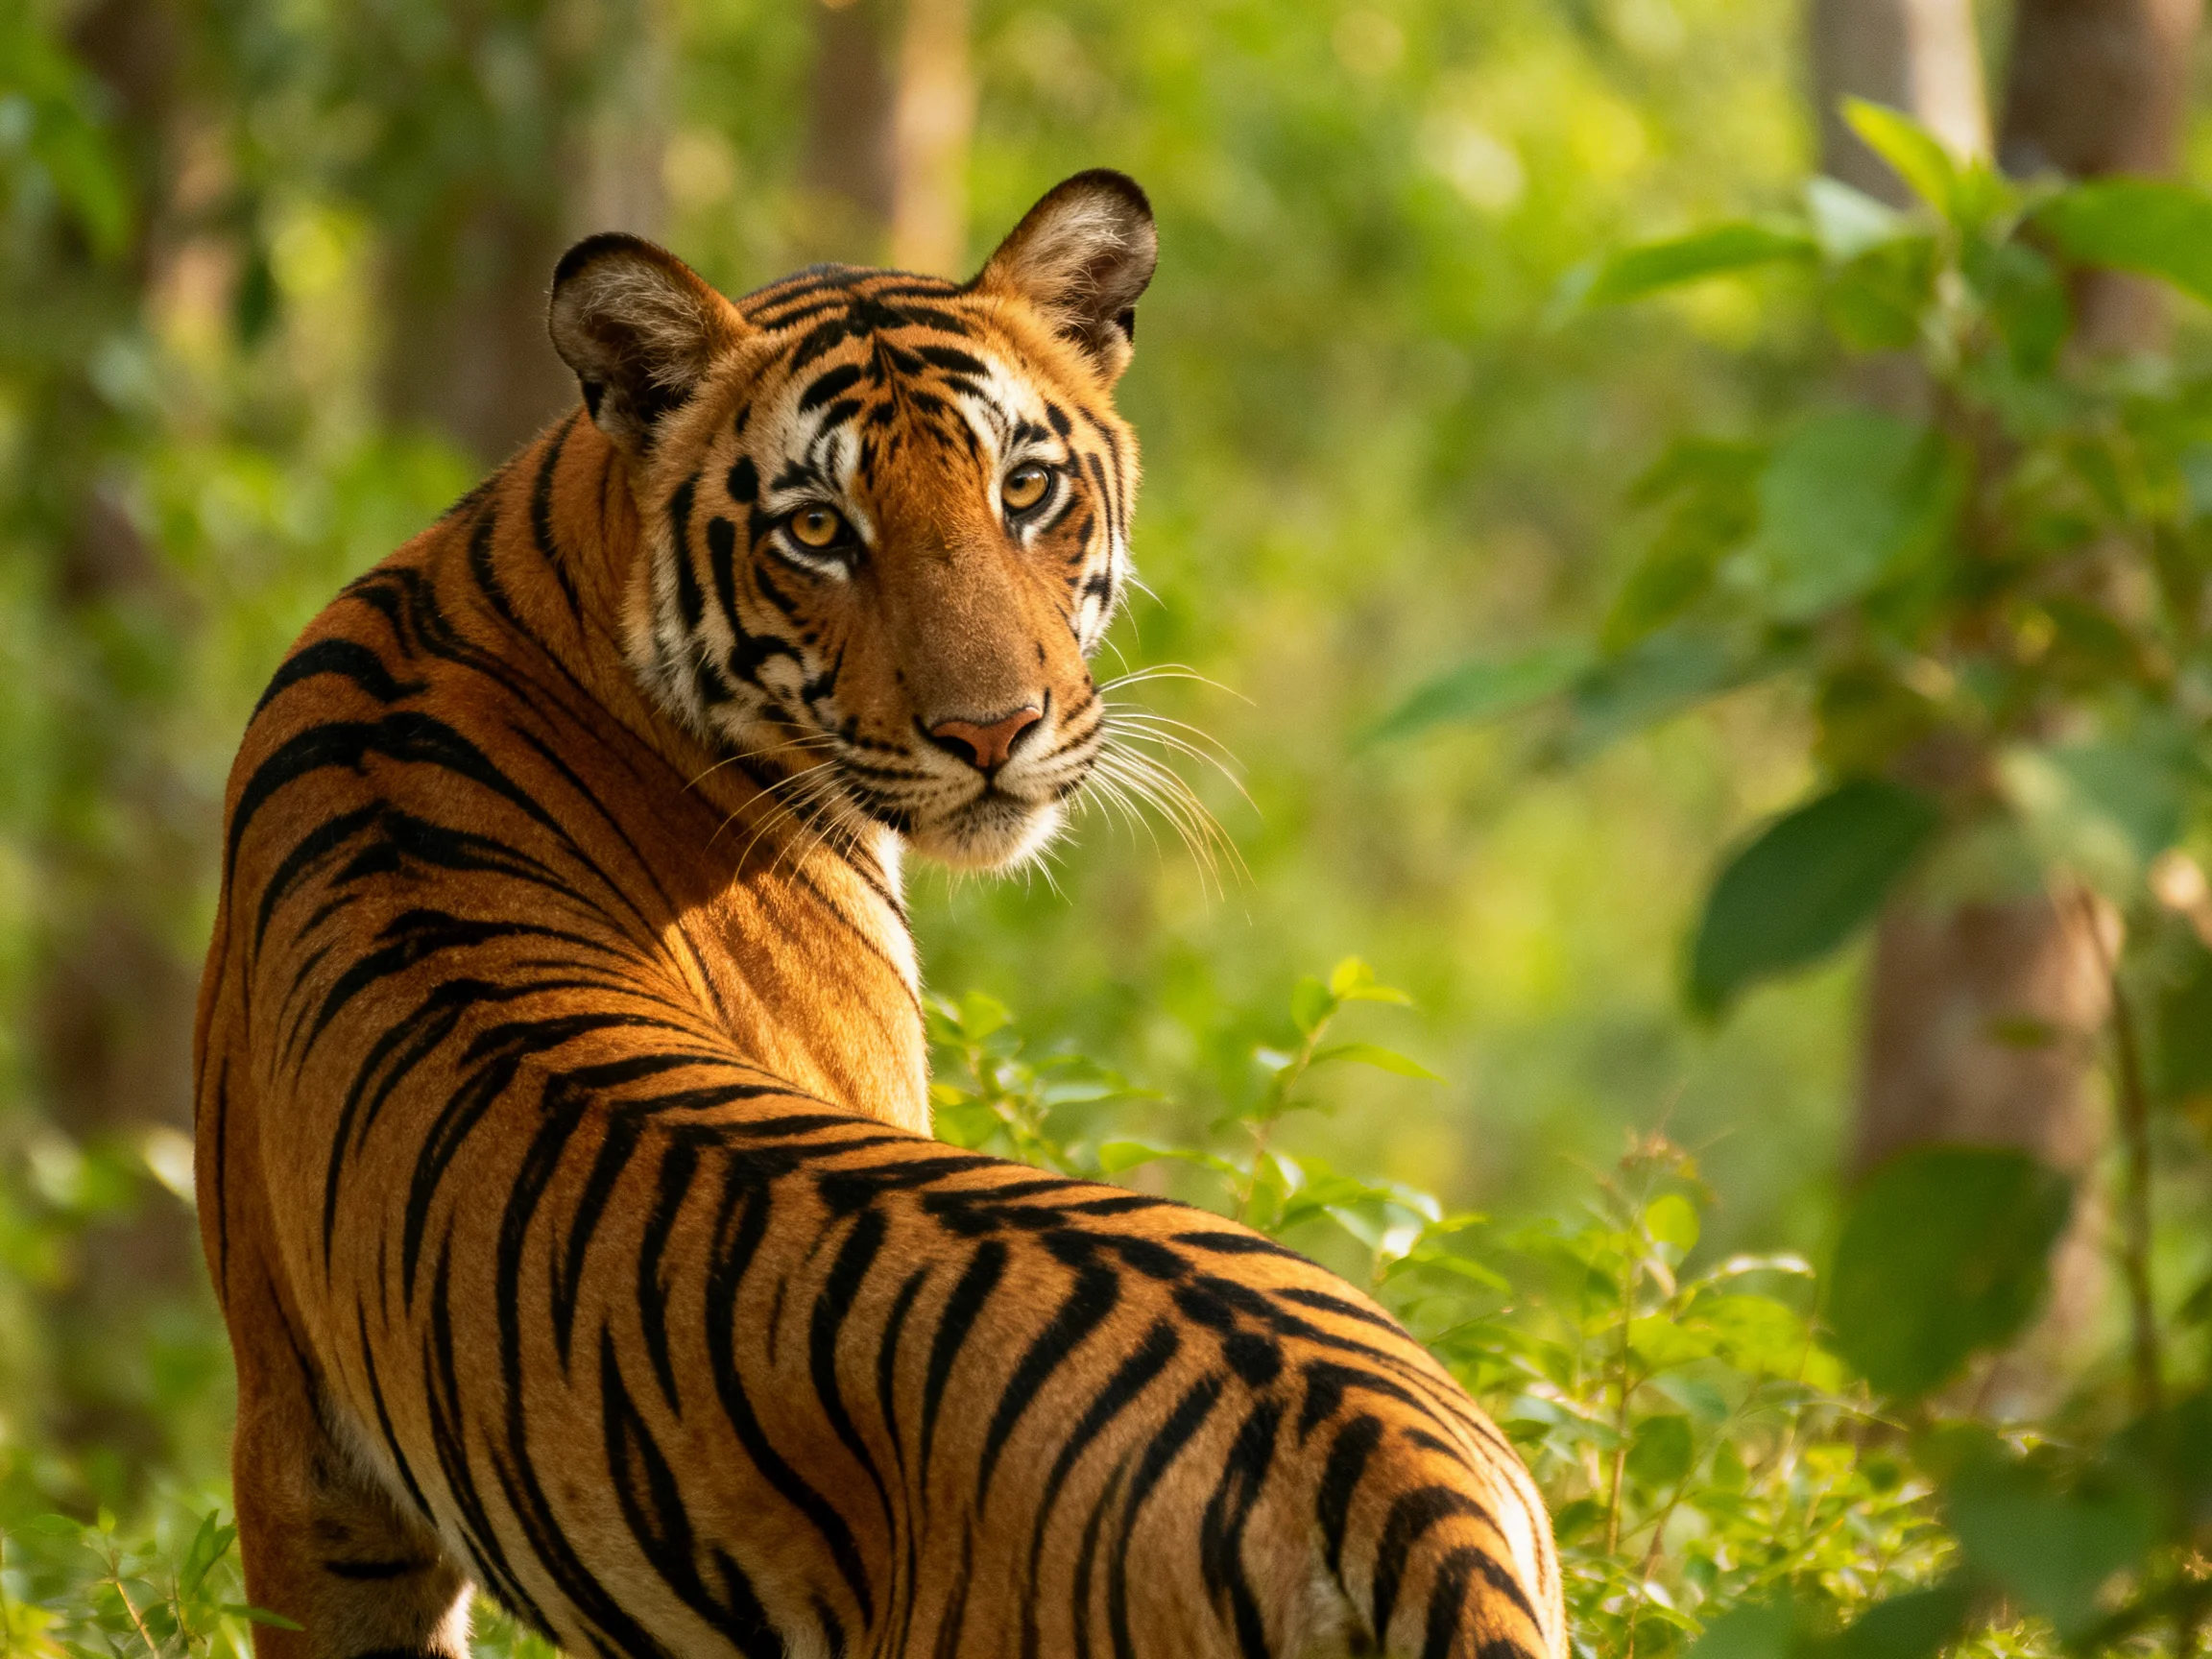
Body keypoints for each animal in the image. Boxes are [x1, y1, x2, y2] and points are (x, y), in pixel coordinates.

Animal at [194, 169, 1563, 1659]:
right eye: (815, 530)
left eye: (1025, 490)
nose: (993, 732)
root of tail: (1377, 1457)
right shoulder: (309, 1448)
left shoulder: (304, 1446)